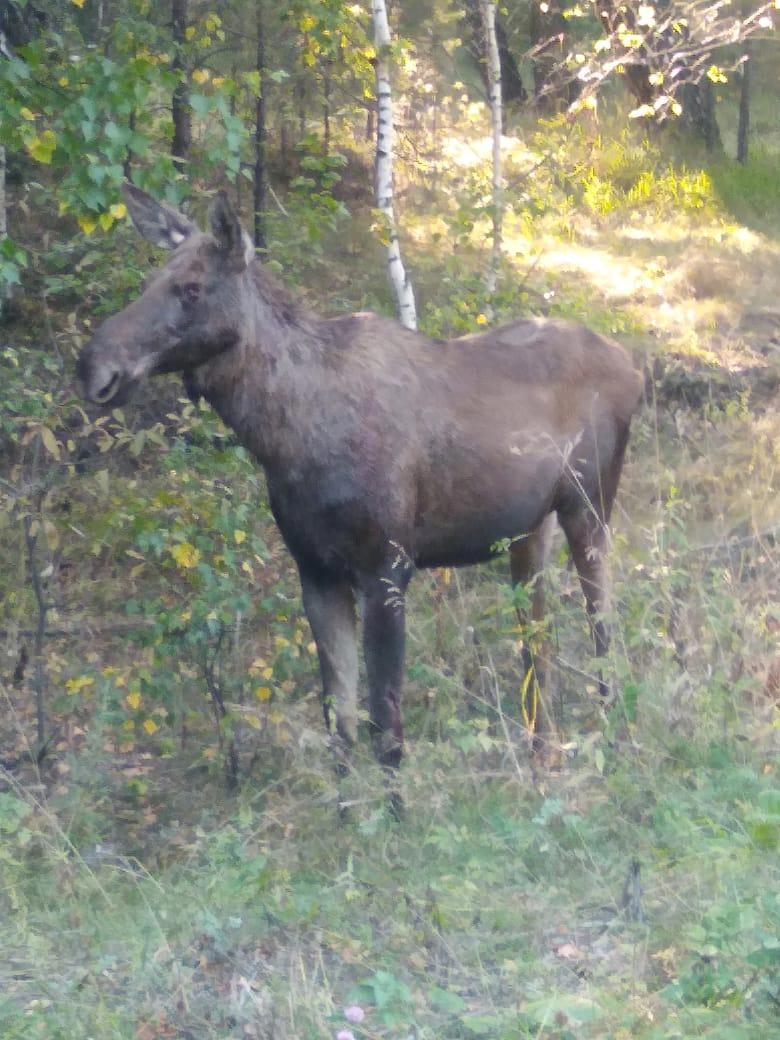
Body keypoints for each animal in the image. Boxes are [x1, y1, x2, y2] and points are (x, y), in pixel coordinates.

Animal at [76, 183, 644, 777]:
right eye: (148, 280)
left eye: (191, 288)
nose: (91, 364)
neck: (285, 441)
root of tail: (635, 368)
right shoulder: (316, 571)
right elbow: (340, 727)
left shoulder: (388, 567)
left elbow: (386, 733)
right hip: (527, 529)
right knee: (538, 639)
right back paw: (543, 755)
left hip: (591, 506)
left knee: (604, 626)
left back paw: (617, 740)